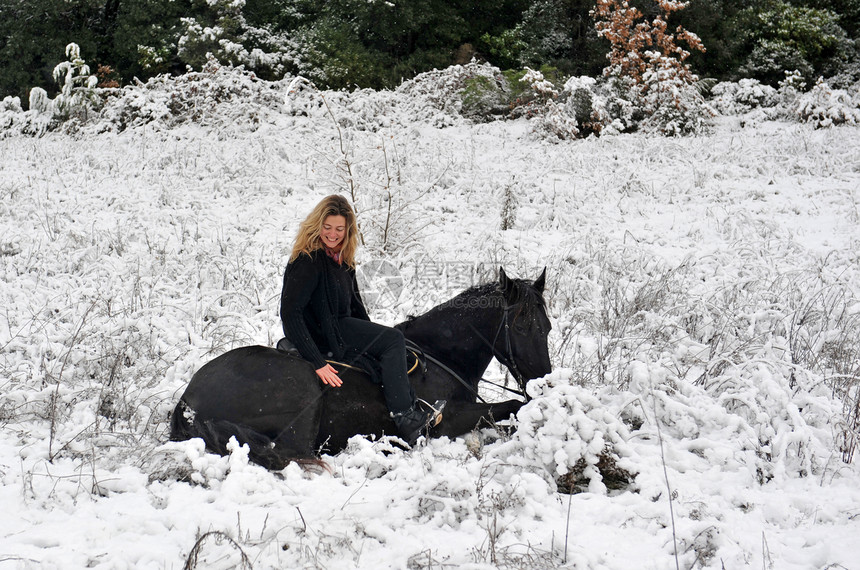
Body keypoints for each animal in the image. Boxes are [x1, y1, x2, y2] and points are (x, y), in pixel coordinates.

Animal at [171, 266, 556, 466]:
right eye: (522, 327)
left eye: (548, 327)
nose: (544, 384)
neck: (441, 354)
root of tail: (188, 398)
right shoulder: (447, 420)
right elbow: (509, 408)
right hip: (304, 392)